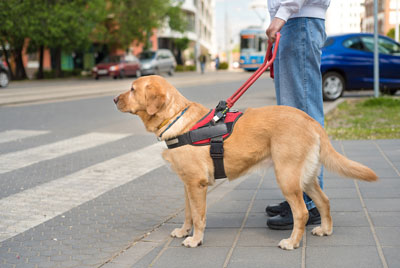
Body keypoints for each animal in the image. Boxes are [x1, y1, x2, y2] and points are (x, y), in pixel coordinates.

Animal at [113, 75, 378, 249]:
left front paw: (196, 239)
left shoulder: (196, 185)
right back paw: (325, 229)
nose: (114, 99)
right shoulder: (187, 184)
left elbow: (199, 216)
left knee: (302, 212)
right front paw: (183, 231)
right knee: (324, 201)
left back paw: (292, 242)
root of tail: (310, 119)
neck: (176, 118)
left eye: (132, 89)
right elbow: (188, 213)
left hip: (287, 176)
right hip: (306, 177)